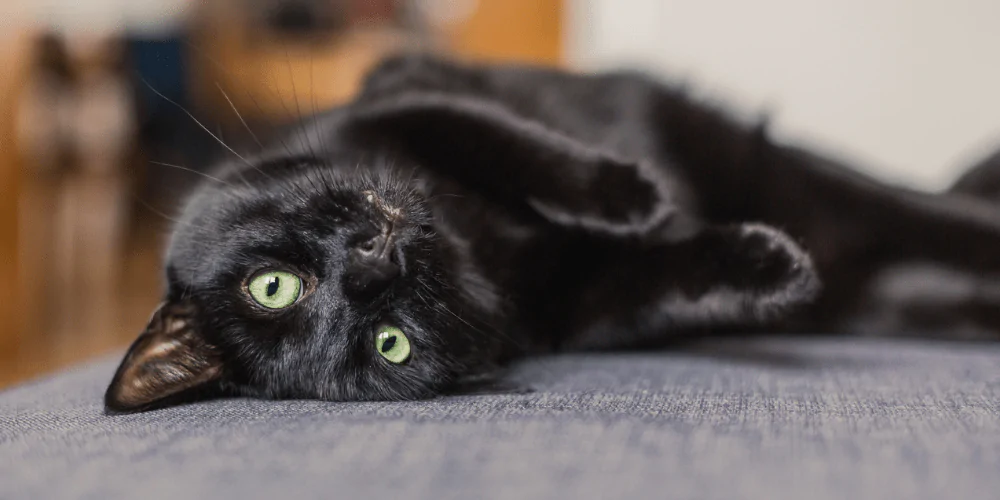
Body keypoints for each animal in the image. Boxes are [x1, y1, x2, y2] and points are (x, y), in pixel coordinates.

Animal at [105, 55, 1000, 414]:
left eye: (272, 284)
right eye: (388, 344)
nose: (374, 260)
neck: (474, 243)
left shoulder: (405, 93)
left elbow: (510, 144)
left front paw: (630, 194)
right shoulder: (576, 308)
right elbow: (667, 284)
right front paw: (766, 266)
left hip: (781, 170)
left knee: (919, 210)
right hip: (878, 289)